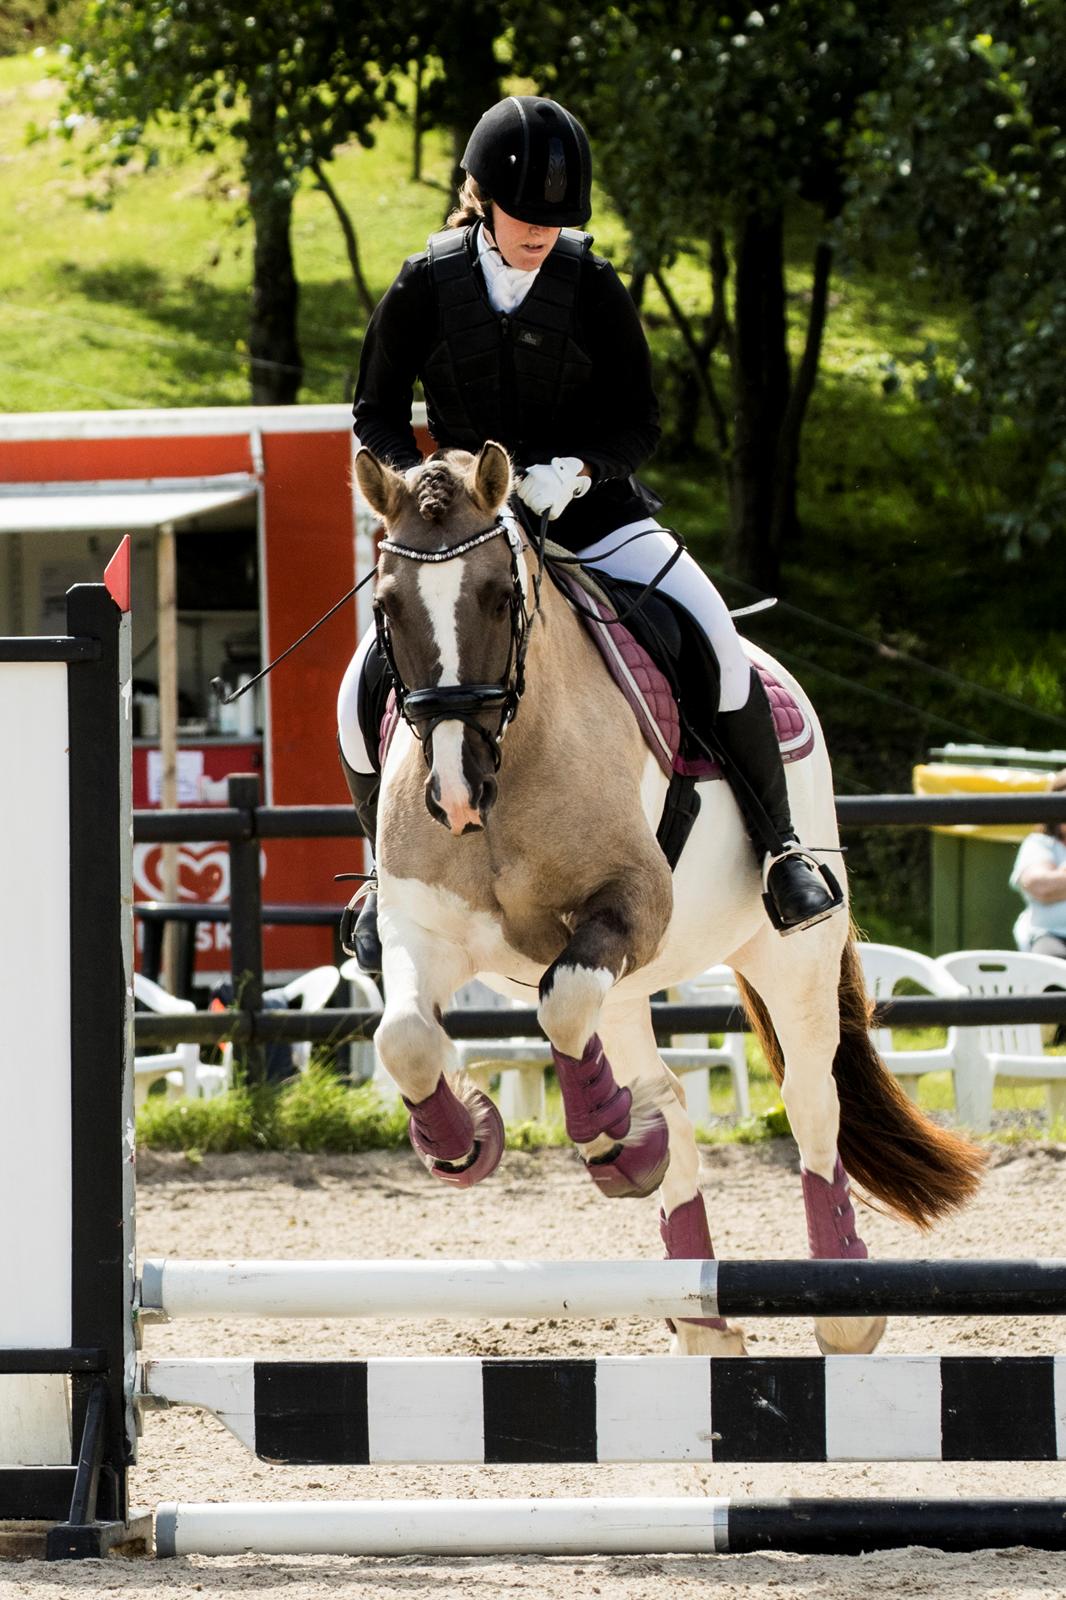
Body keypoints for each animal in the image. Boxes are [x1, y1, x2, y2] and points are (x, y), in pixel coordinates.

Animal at [355, 441, 979, 1363]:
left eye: (501, 597)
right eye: (388, 607)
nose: (457, 793)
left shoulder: (630, 909)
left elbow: (560, 1003)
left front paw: (616, 1145)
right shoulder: (422, 931)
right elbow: (405, 1039)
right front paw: (468, 1140)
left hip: (788, 953)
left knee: (810, 1100)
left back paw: (842, 1303)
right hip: (632, 986)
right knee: (665, 1090)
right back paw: (698, 1305)